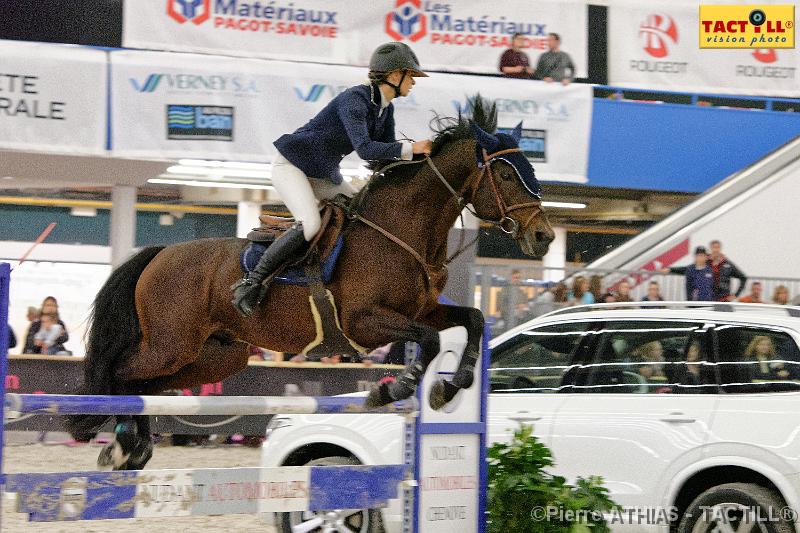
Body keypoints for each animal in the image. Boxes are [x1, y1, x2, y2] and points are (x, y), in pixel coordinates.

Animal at [64, 97, 556, 468]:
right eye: (507, 174)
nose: (544, 236)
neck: (401, 231)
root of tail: (161, 253)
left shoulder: (423, 309)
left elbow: (472, 320)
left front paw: (448, 387)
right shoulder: (365, 322)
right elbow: (431, 341)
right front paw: (393, 389)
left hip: (214, 357)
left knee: (147, 384)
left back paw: (135, 448)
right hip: (171, 343)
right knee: (122, 372)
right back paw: (122, 442)